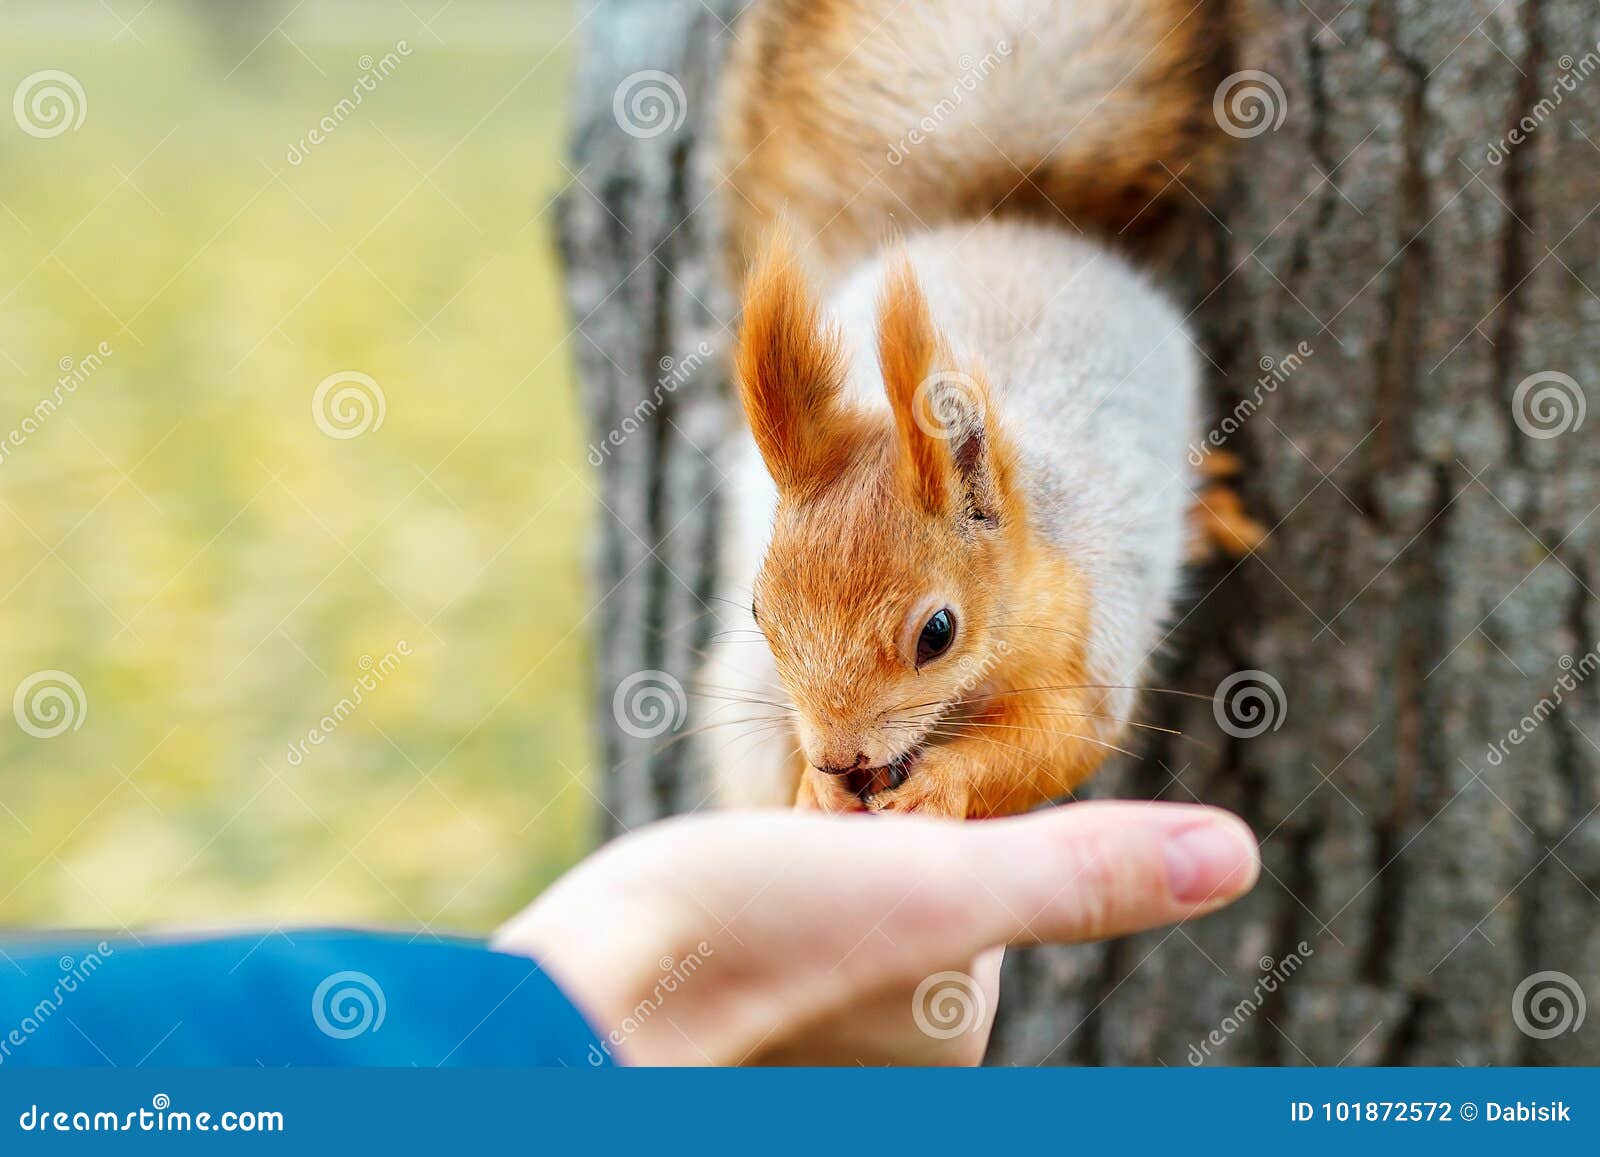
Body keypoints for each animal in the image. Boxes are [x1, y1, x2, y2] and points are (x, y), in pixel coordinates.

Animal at [697, 0, 1263, 817]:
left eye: (938, 632)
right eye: (758, 612)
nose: (838, 757)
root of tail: (997, 222)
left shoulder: (1094, 623)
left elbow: (1061, 739)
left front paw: (942, 782)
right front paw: (817, 790)